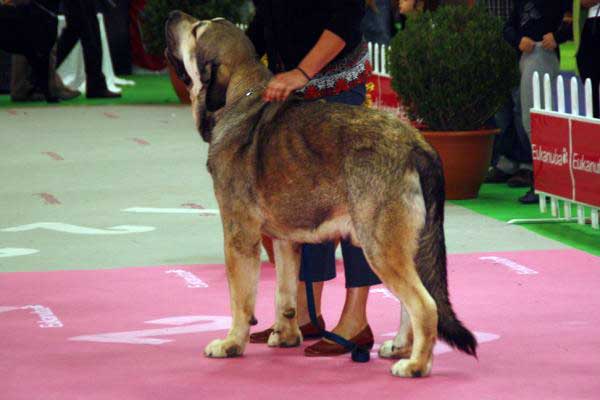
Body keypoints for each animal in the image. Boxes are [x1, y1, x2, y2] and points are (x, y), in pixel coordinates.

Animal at [166, 10, 476, 378]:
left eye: (197, 31)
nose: (173, 14)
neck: (241, 98)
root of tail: (417, 145)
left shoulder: (239, 236)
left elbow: (241, 300)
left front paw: (231, 344)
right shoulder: (285, 241)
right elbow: (285, 294)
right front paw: (285, 336)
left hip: (379, 244)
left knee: (425, 305)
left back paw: (415, 364)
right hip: (407, 243)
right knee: (413, 301)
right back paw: (400, 346)